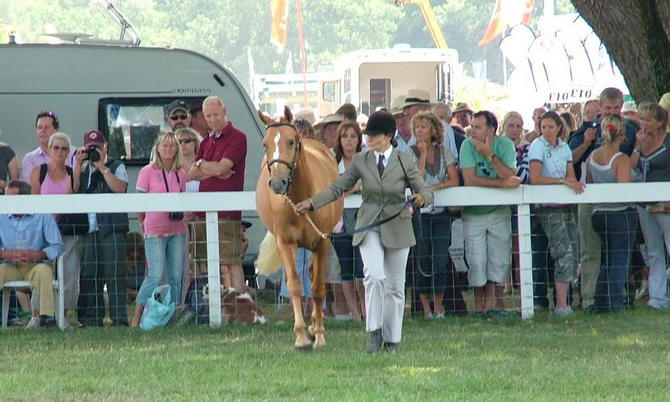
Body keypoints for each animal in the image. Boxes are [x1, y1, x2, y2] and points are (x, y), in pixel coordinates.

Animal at [255, 107, 344, 348]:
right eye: (265, 144)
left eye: (291, 141)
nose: (277, 183)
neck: (301, 197)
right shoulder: (285, 243)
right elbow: (294, 284)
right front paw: (301, 336)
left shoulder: (322, 243)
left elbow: (317, 289)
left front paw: (319, 334)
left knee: (314, 277)